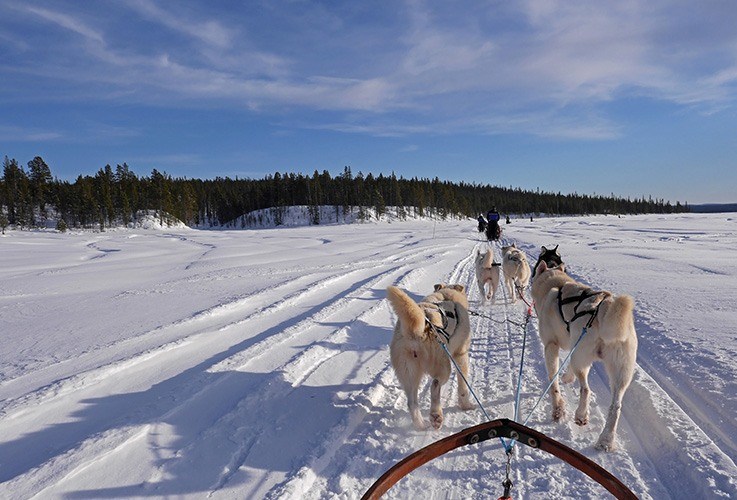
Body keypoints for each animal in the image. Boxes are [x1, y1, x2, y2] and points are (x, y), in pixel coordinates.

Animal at [386, 286, 472, 430]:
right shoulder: (461, 355)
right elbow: (463, 386)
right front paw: (466, 406)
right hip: (443, 367)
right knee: (435, 385)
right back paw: (436, 416)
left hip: (410, 374)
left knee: (412, 403)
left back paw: (421, 425)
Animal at [528, 260, 640, 452]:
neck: (555, 283)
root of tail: (604, 307)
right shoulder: (571, 345)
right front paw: (567, 377)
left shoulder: (551, 346)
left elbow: (553, 381)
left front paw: (558, 410)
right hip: (620, 371)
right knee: (615, 406)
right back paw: (605, 440)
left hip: (581, 358)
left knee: (586, 389)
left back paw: (581, 415)